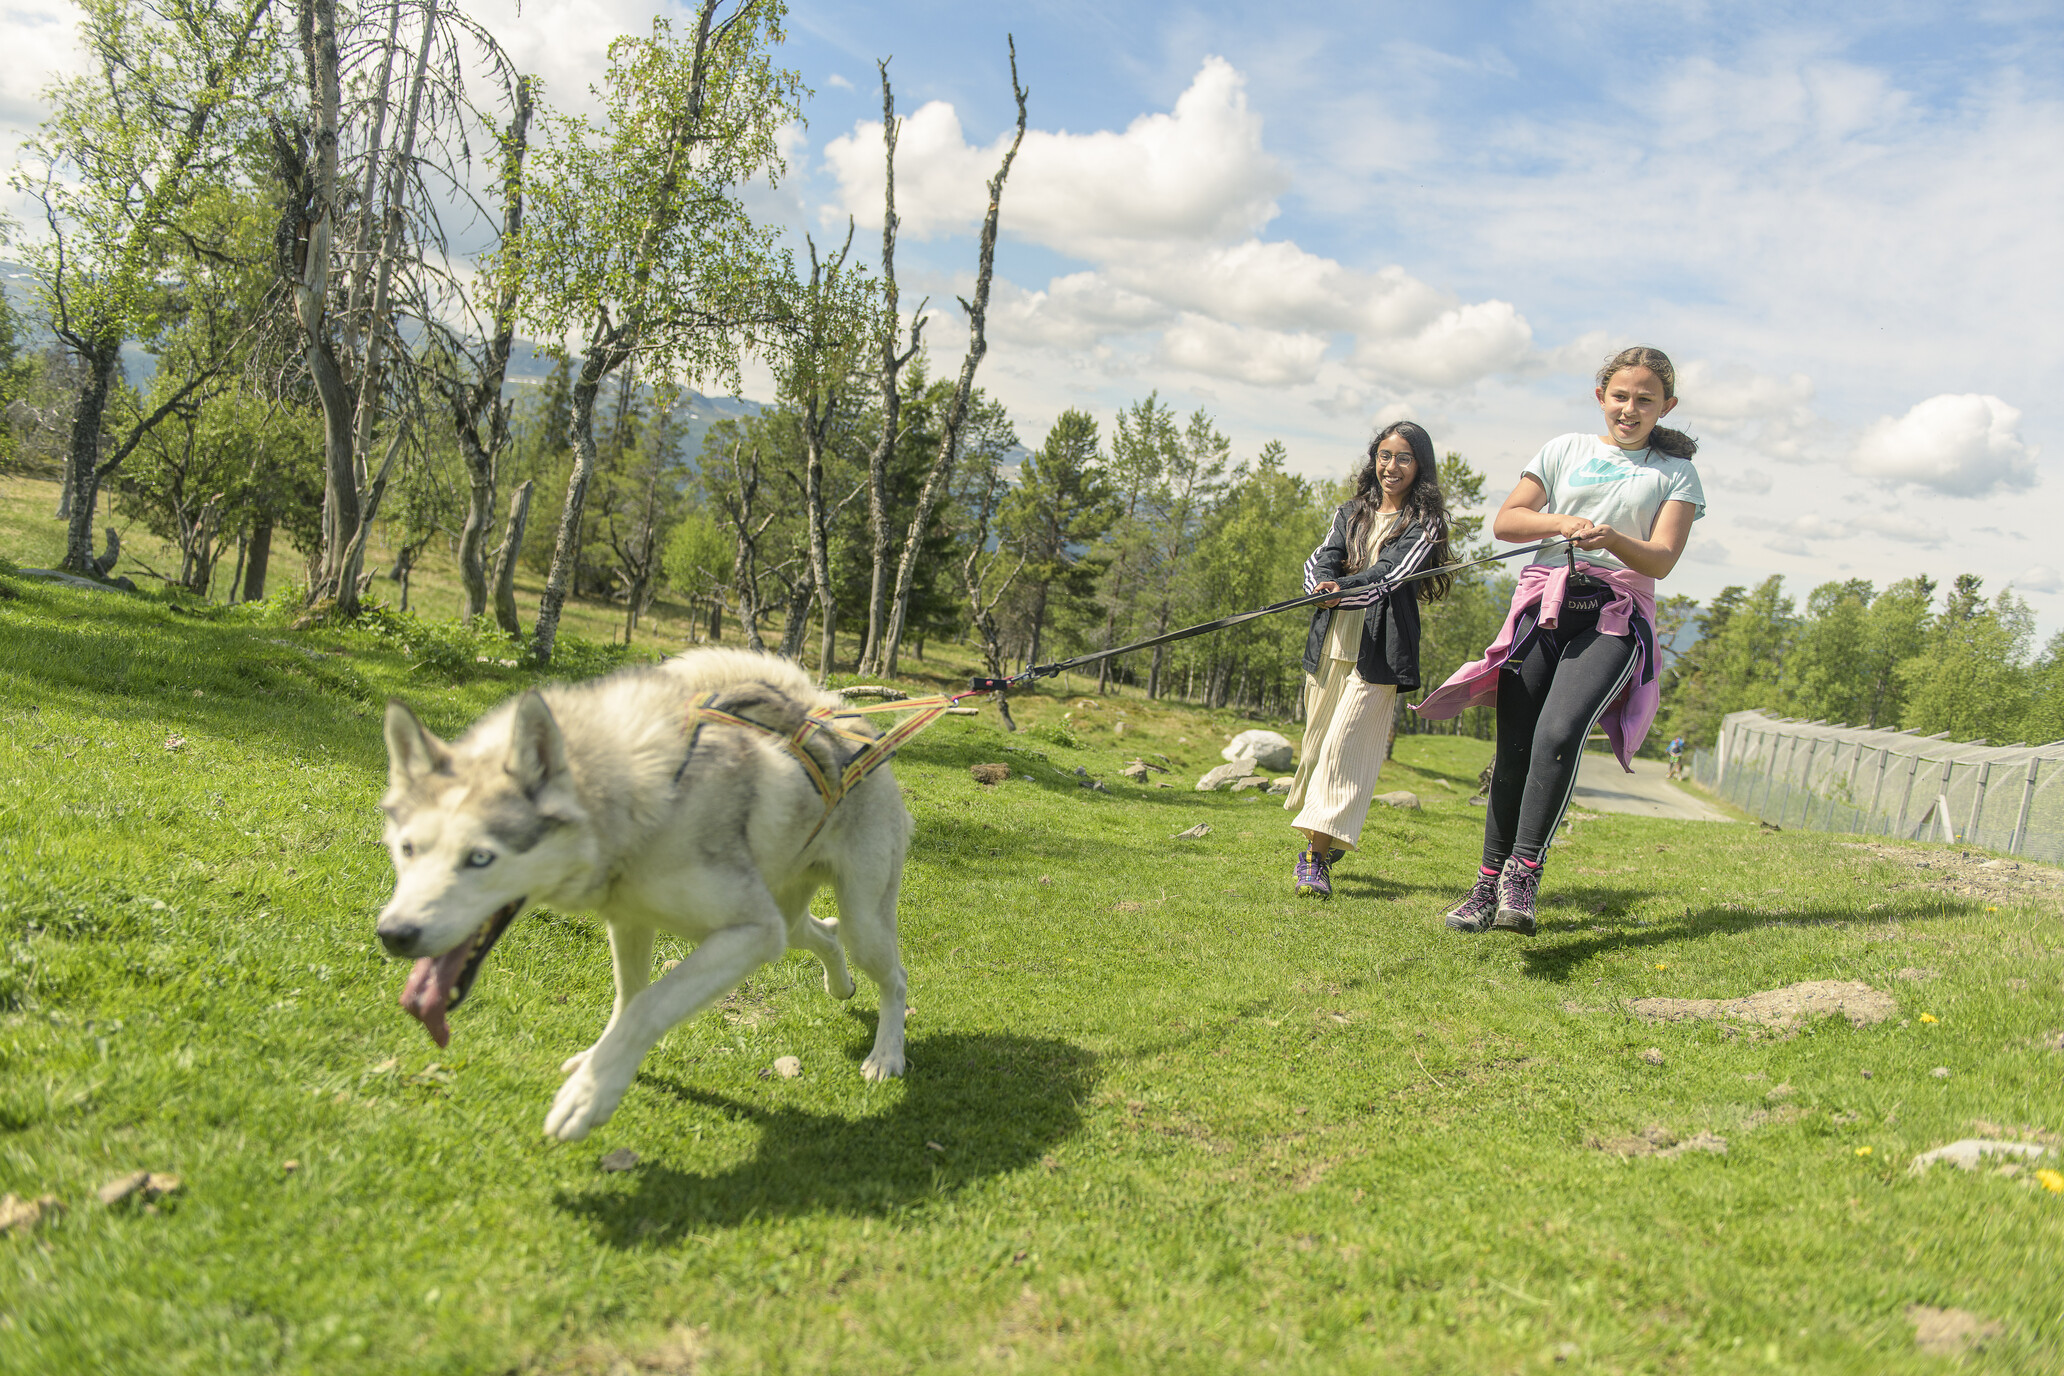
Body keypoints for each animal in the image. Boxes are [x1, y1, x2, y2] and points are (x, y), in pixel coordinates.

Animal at [375, 651, 908, 1147]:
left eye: (481, 857)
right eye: (407, 848)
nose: (393, 934)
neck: (643, 803)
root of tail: (846, 717)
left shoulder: (753, 932)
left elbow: (649, 1006)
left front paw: (590, 1096)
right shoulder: (630, 920)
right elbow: (628, 999)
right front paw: (599, 1063)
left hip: (858, 921)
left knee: (892, 975)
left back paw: (886, 1055)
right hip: (792, 916)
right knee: (826, 933)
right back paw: (841, 986)